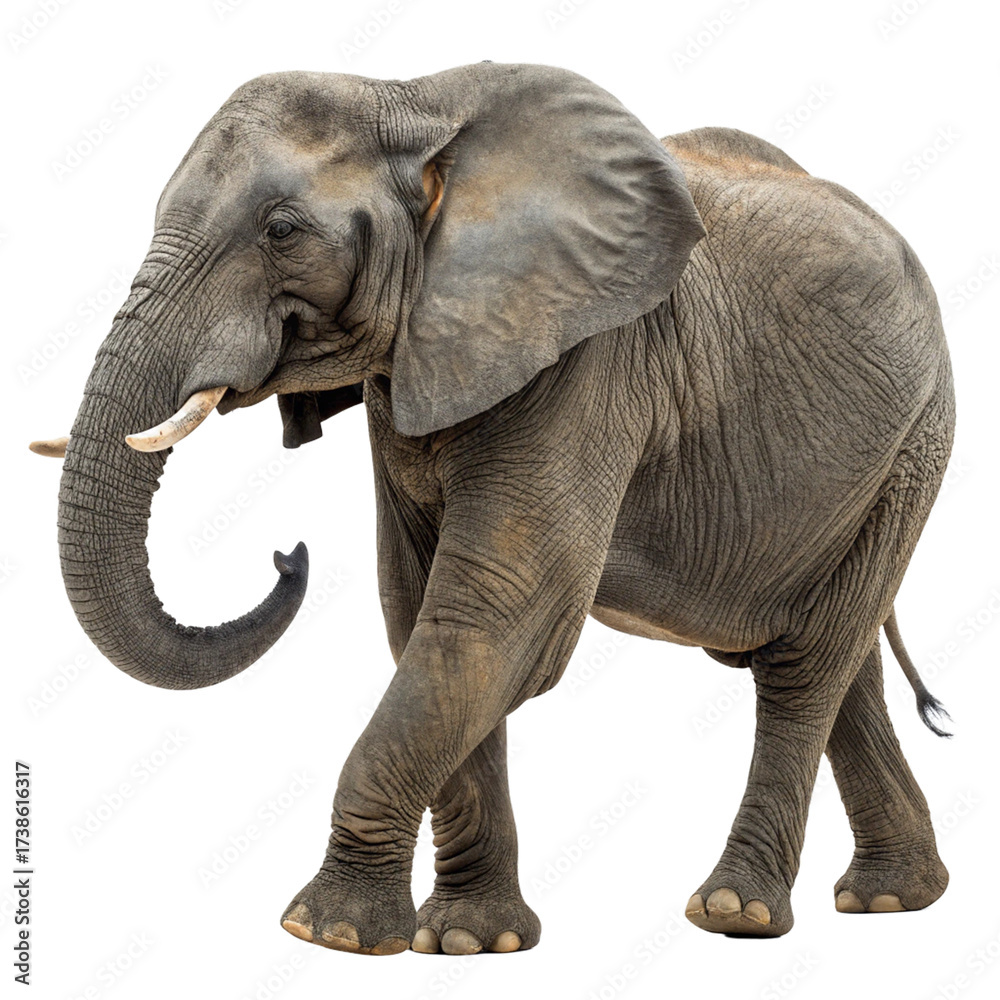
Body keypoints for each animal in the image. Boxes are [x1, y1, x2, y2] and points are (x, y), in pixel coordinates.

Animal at [32, 61, 954, 953]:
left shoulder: (591, 360)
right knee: (830, 660)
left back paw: (739, 913)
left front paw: (328, 932)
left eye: (282, 232)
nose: (288, 555)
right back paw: (892, 897)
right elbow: (420, 613)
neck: (414, 102)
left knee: (805, 670)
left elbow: (497, 613)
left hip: (916, 444)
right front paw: (471, 941)